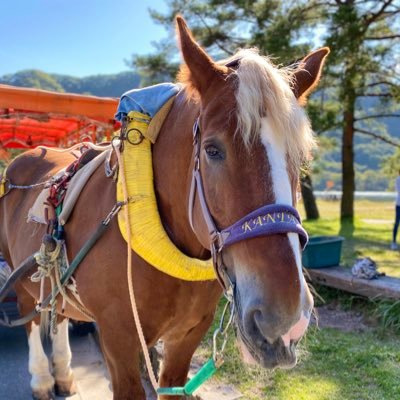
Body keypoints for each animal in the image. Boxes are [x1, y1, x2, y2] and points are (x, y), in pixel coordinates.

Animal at [0, 17, 328, 400]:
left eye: (301, 158)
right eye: (212, 150)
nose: (283, 320)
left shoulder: (188, 335)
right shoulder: (118, 338)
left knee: (60, 312)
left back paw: (64, 373)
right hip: (22, 280)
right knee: (34, 318)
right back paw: (41, 378)